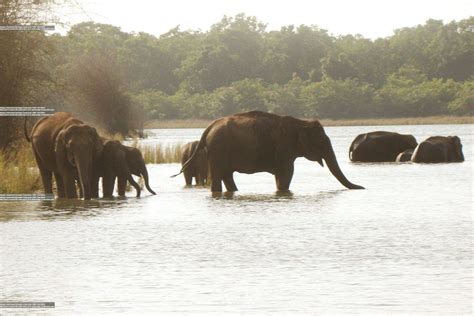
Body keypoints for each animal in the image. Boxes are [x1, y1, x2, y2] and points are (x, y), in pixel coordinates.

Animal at [173, 111, 362, 193]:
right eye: (322, 143)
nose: (362, 187)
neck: (300, 122)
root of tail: (208, 128)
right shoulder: (284, 148)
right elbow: (286, 173)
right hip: (218, 149)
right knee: (219, 174)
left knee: (227, 175)